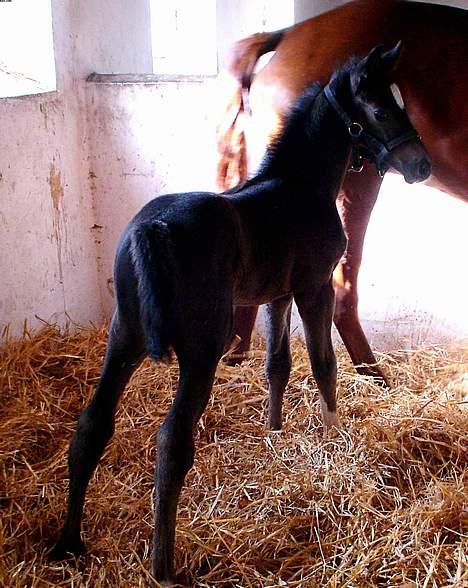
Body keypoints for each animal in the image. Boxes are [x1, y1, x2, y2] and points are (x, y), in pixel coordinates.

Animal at [52, 42, 432, 584]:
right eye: (381, 110)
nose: (421, 165)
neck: (299, 184)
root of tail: (152, 229)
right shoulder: (313, 287)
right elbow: (323, 364)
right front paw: (333, 435)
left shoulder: (275, 294)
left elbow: (278, 365)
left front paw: (274, 436)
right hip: (200, 349)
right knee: (171, 442)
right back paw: (163, 566)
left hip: (123, 335)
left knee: (91, 425)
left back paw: (68, 543)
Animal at [219, 0, 468, 384]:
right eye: (381, 110)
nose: (423, 164)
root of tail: (287, 35)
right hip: (353, 186)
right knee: (343, 292)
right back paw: (374, 377)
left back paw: (236, 362)